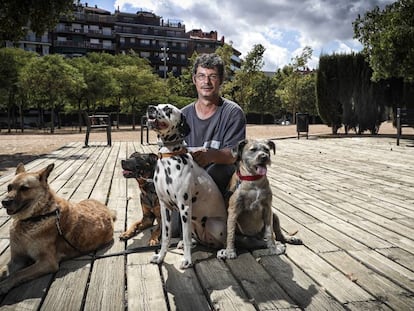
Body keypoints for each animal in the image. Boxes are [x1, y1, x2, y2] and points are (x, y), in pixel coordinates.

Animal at [1, 163, 116, 294]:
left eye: (24, 188)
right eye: (9, 187)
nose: (4, 202)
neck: (36, 217)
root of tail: (107, 209)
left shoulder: (47, 262)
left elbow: (19, 273)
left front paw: (4, 285)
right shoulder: (17, 260)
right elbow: (3, 270)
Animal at [147, 103, 228, 270]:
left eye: (168, 109)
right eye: (157, 105)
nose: (150, 108)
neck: (169, 157)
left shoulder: (184, 207)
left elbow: (185, 236)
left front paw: (187, 260)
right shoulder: (165, 207)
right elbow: (166, 236)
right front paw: (160, 257)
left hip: (213, 224)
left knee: (224, 241)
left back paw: (224, 251)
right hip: (193, 222)